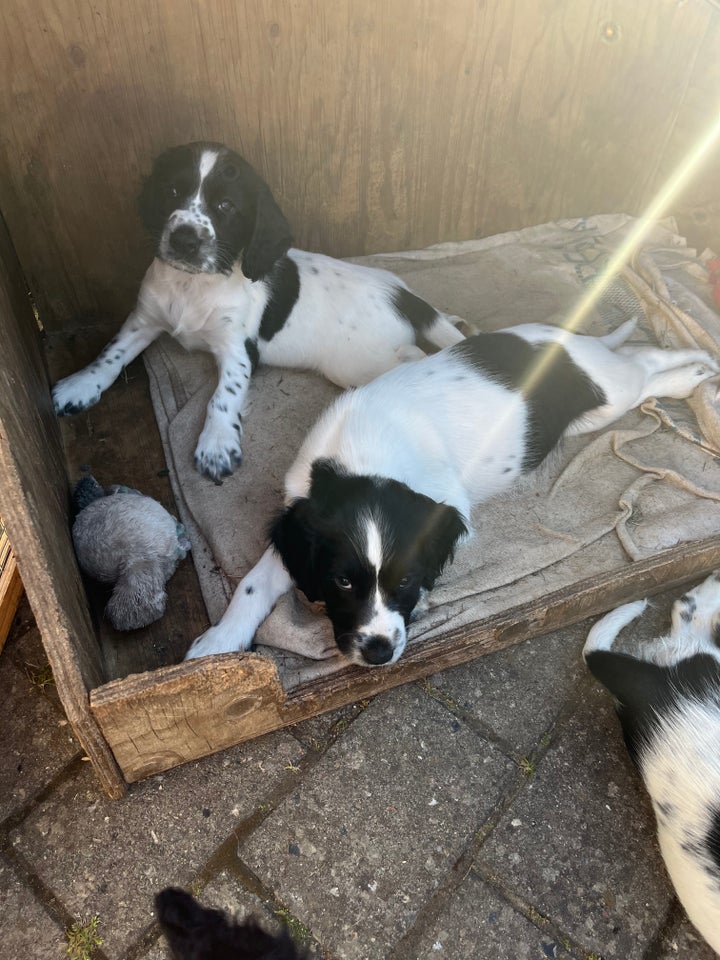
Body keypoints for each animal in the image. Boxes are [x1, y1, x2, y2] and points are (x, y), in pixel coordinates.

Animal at [53, 141, 464, 480]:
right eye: (172, 191)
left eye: (226, 206)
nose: (184, 239)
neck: (192, 286)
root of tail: (400, 294)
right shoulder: (143, 320)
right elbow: (110, 355)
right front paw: (80, 384)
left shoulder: (238, 349)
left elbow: (223, 396)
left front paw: (217, 445)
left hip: (355, 364)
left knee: (414, 355)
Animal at [183, 318, 716, 664]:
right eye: (343, 582)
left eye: (404, 580)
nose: (379, 653)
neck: (362, 457)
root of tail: (568, 338)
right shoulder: (302, 517)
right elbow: (253, 583)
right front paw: (219, 643)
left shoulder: (450, 506)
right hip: (589, 412)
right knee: (638, 365)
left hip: (611, 394)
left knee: (643, 364)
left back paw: (693, 370)